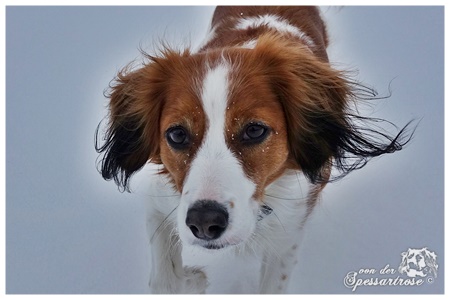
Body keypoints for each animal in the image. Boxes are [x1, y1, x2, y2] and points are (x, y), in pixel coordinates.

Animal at [96, 6, 414, 292]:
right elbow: (165, 281)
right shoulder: (162, 202)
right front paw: (193, 279)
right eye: (177, 134)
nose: (204, 222)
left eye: (254, 130)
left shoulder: (289, 233)